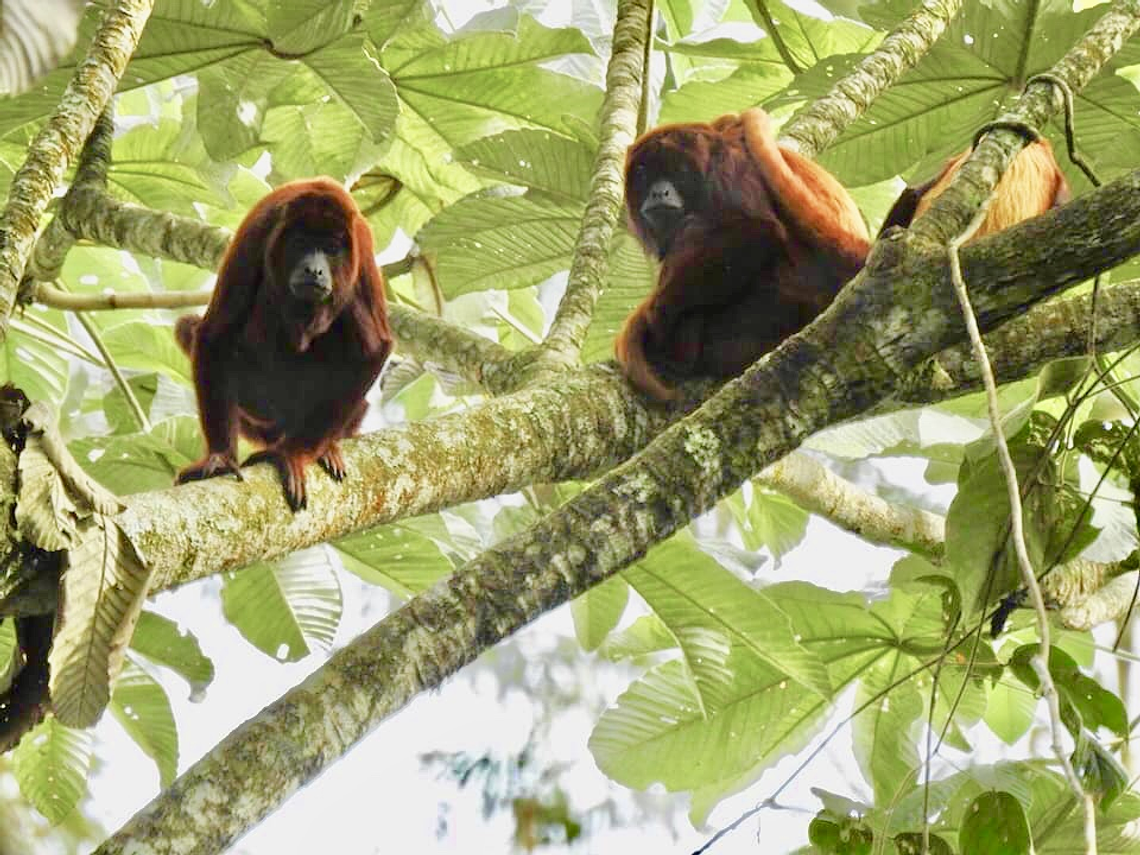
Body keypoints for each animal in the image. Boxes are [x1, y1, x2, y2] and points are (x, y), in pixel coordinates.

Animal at [175, 177, 392, 513]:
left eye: (331, 249)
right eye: (301, 243)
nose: (314, 269)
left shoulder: (362, 251)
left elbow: (371, 350)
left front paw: (293, 454)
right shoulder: (257, 233)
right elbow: (216, 332)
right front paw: (220, 457)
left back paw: (326, 447)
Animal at [620, 107, 866, 401]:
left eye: (678, 171)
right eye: (645, 174)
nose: (660, 192)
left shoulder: (728, 166)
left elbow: (756, 229)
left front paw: (659, 313)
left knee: (694, 227)